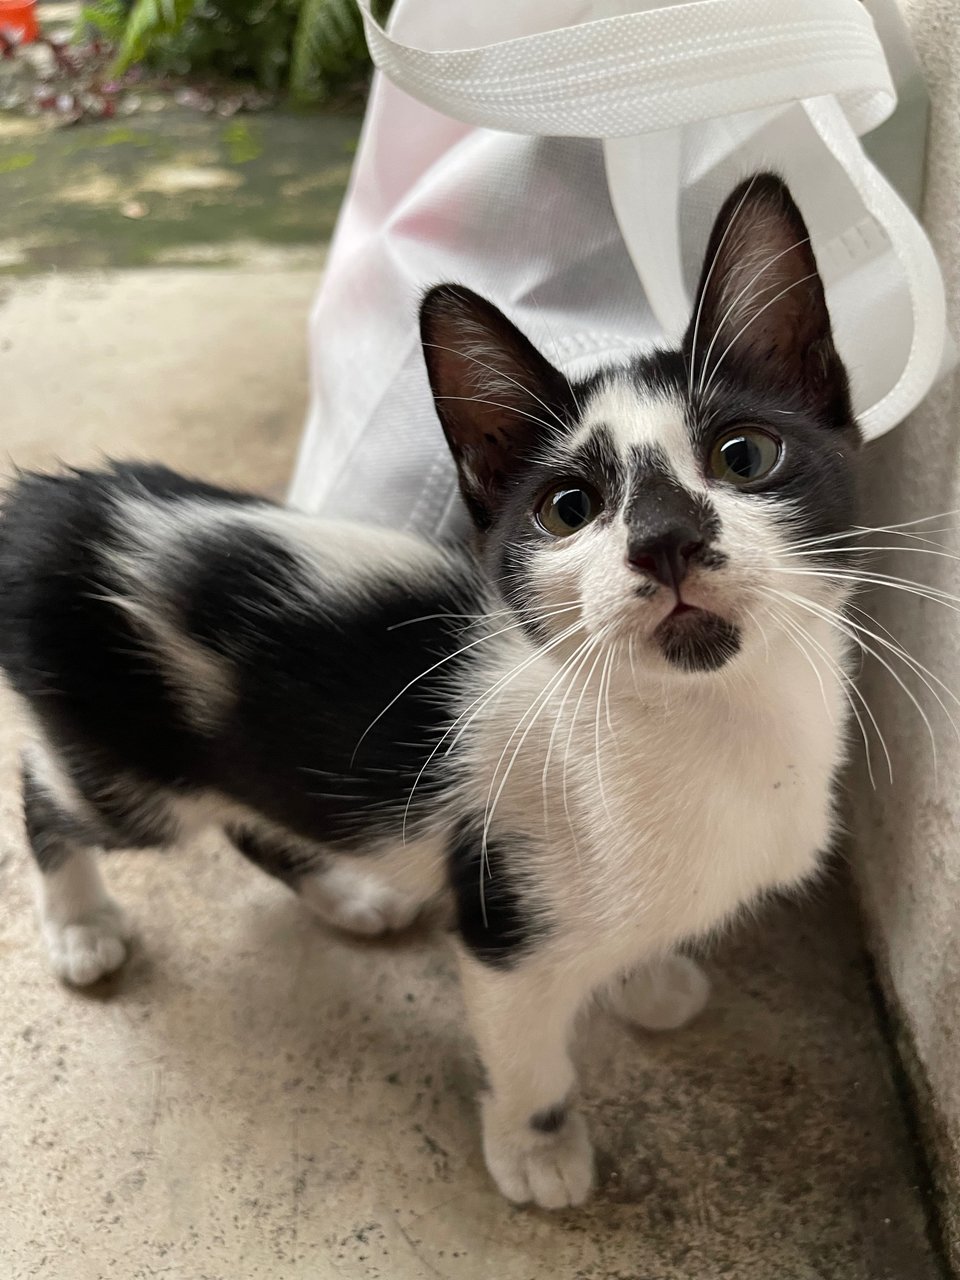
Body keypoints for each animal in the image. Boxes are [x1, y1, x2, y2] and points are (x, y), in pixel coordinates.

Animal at [0, 172, 855, 1208]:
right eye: (570, 509)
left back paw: (348, 894)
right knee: (51, 793)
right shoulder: (502, 912)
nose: (666, 540)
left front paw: (647, 979)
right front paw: (538, 1149)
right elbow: (528, 1051)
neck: (716, 730)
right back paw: (81, 927)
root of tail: (48, 506)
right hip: (133, 775)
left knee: (257, 813)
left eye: (746, 456)